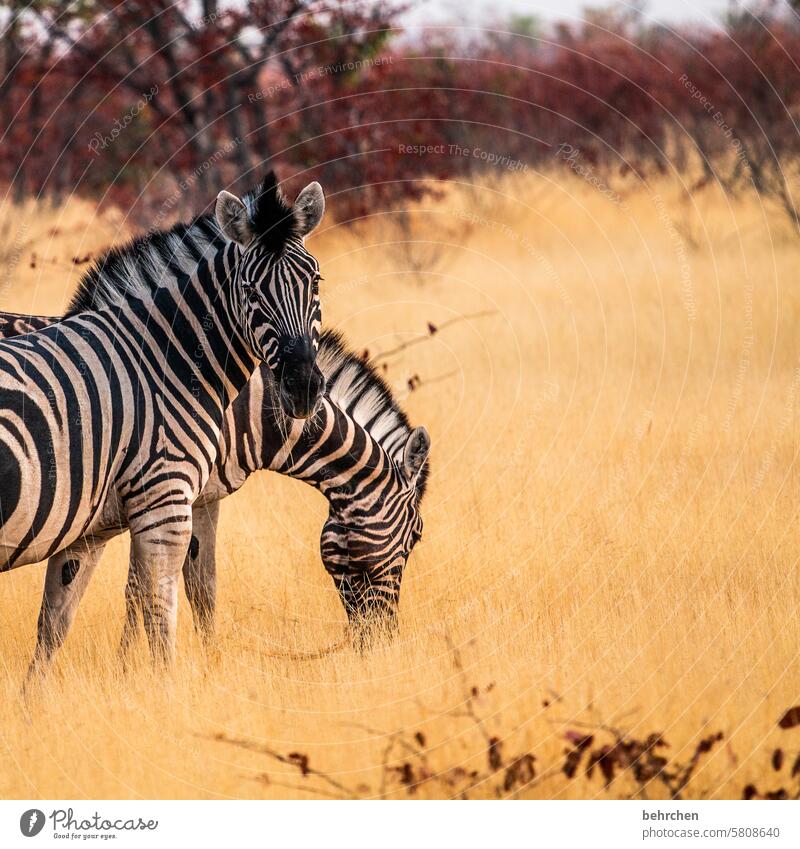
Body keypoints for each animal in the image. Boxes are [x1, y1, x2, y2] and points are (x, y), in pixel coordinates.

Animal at [0, 171, 326, 664]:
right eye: (250, 292)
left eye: (315, 283)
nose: (303, 386)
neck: (164, 362)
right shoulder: (167, 502)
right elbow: (162, 622)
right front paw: (163, 681)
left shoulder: (93, 527)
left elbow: (54, 627)